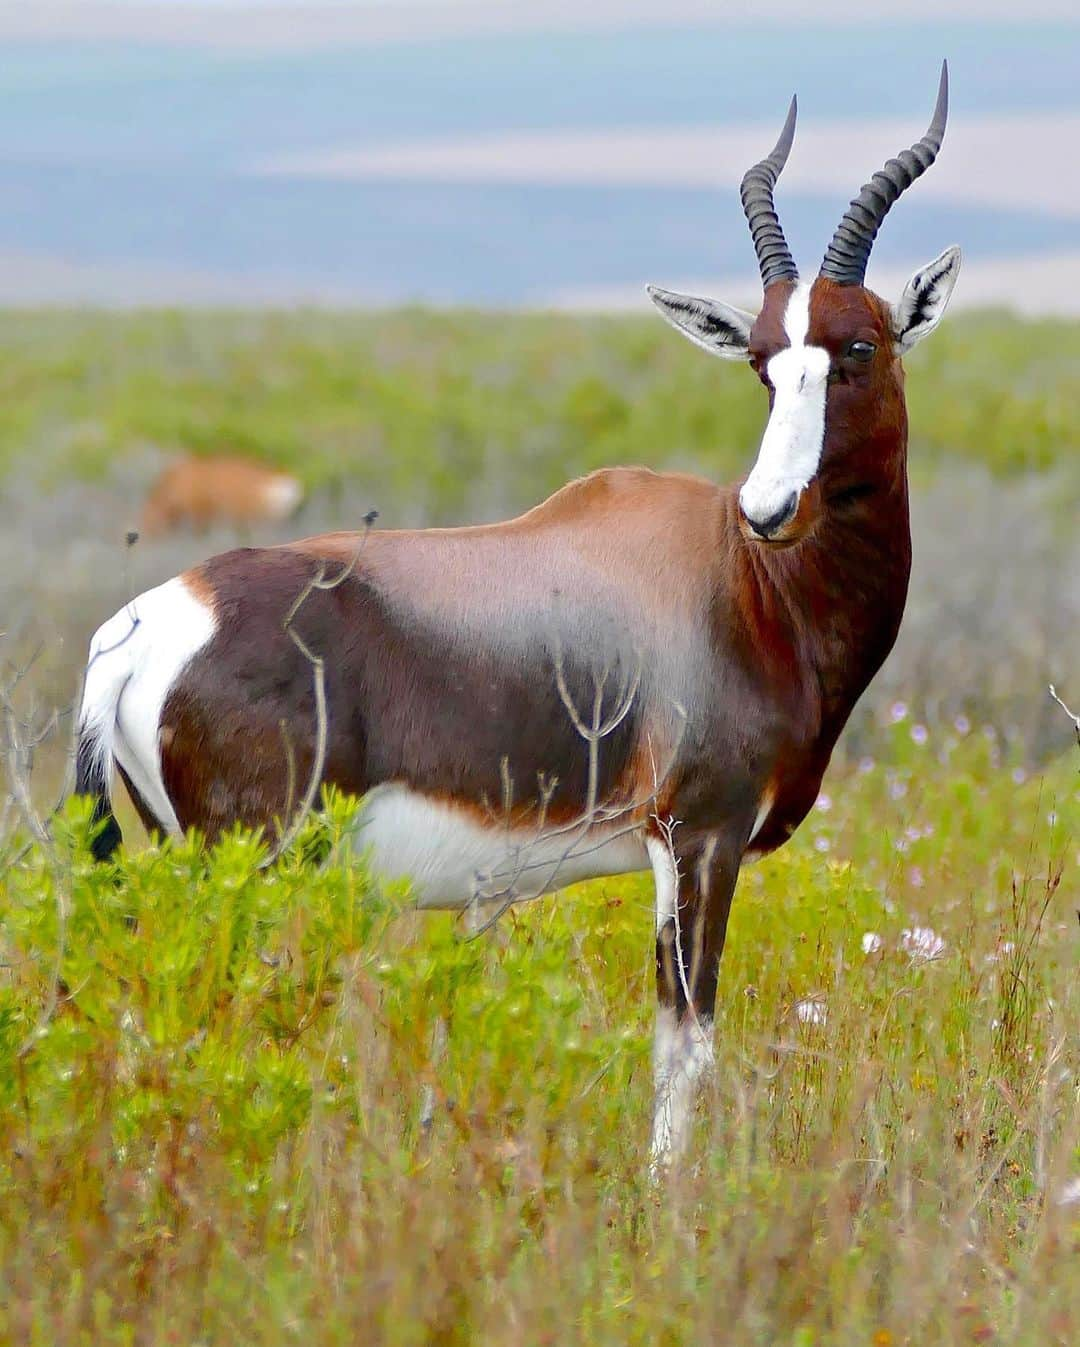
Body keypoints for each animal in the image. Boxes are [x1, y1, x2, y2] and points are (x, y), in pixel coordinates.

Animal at [77, 65, 958, 1169]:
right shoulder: (699, 837)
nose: (769, 509)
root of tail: (146, 626)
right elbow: (685, 1041)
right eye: (763, 360)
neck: (744, 583)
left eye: (857, 346)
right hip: (251, 864)